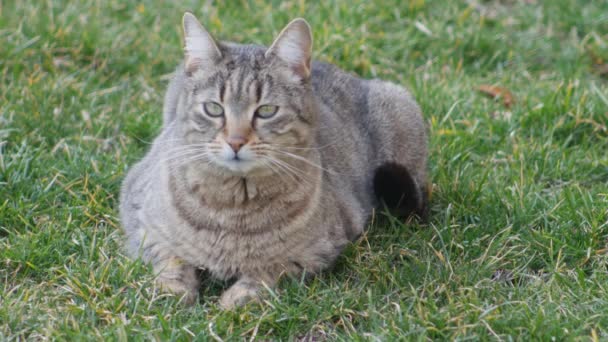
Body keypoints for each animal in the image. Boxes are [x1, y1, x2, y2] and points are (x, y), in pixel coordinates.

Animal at [120, 12, 428, 308]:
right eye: (213, 109)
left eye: (266, 111)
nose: (235, 141)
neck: (233, 209)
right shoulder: (139, 217)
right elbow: (172, 259)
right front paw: (172, 291)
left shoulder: (318, 250)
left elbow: (269, 269)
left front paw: (238, 297)